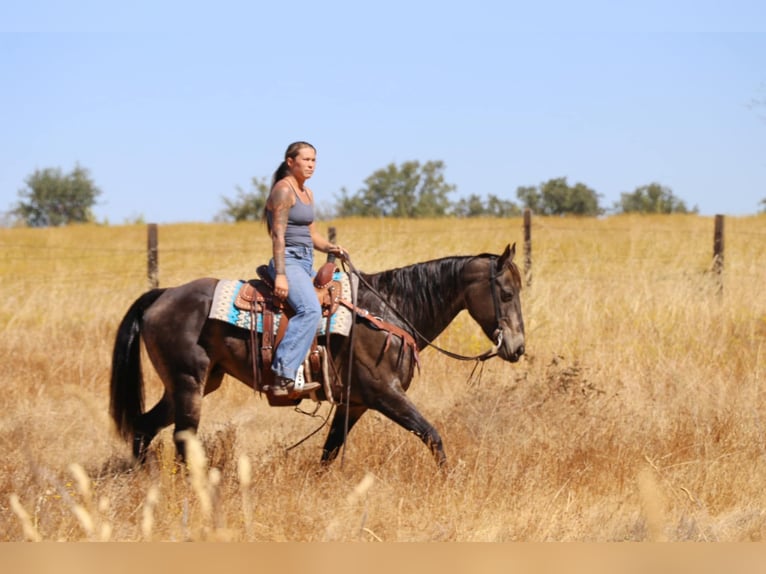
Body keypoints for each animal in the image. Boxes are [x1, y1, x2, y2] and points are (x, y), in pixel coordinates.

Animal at [109, 243, 528, 468]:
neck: (388, 311)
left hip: (194, 383)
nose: (518, 346)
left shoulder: (353, 403)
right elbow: (432, 435)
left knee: (144, 427)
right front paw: (447, 480)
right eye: (507, 293)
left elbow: (329, 451)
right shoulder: (385, 393)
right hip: (188, 383)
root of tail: (162, 296)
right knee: (181, 439)